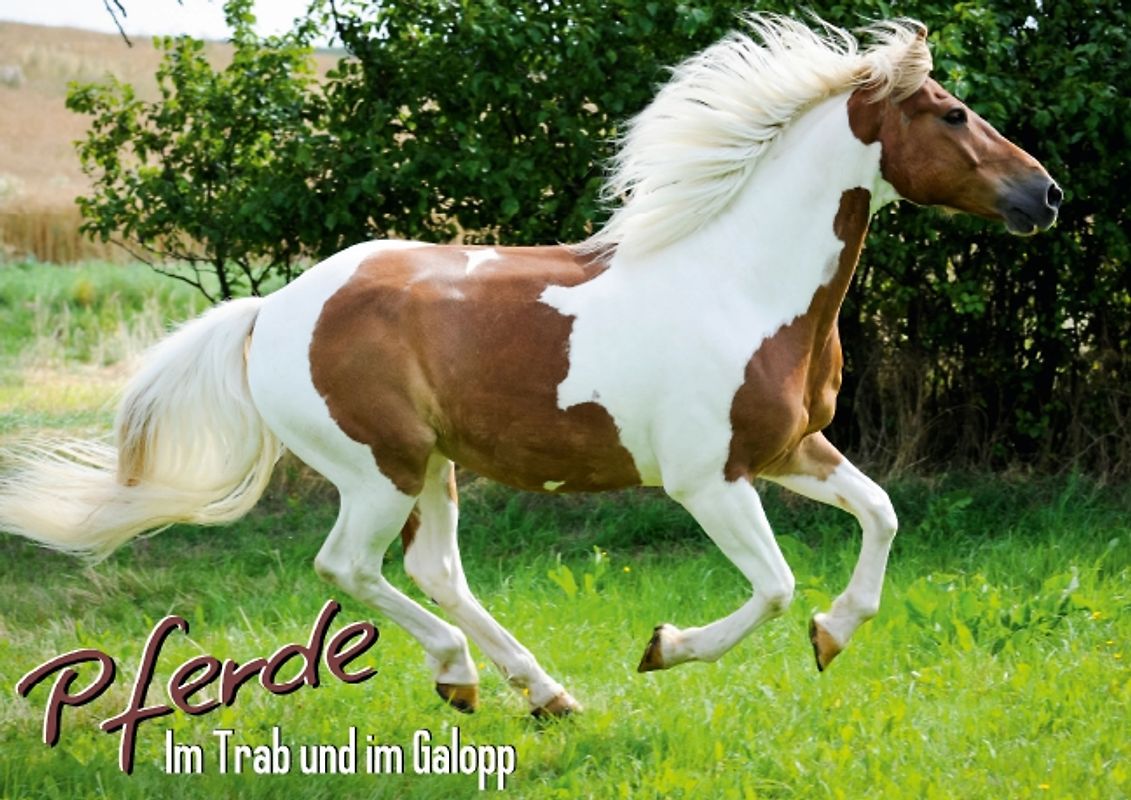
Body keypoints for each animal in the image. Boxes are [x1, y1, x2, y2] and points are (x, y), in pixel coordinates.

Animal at [0, 17, 1060, 717]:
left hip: (433, 467)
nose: (1044, 195)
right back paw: (470, 677)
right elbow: (771, 588)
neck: (743, 280)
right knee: (350, 566)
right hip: (378, 468)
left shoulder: (793, 450)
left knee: (431, 568)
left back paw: (538, 692)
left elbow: (880, 516)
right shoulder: (708, 480)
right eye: (952, 113)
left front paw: (832, 638)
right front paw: (662, 648)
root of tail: (273, 312)